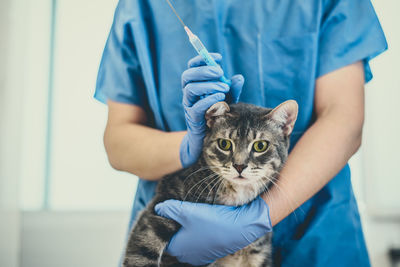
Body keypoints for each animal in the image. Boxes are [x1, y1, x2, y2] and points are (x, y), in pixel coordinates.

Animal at [123, 100, 298, 267]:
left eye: (260, 146)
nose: (239, 166)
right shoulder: (158, 209)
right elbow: (141, 255)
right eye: (224, 144)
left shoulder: (258, 253)